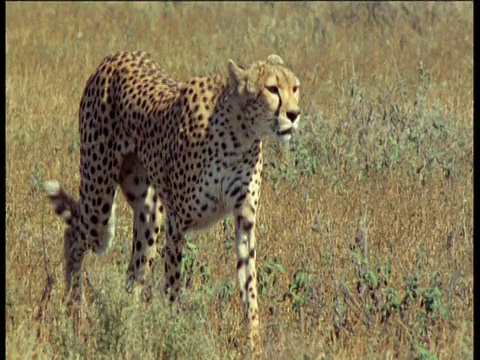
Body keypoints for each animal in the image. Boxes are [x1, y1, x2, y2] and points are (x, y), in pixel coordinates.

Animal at [45, 50, 300, 344]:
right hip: (99, 198)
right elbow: (173, 286)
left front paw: (254, 342)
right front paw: (173, 333)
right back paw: (74, 312)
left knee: (134, 272)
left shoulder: (244, 222)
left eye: (295, 88)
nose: (294, 114)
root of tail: (116, 56)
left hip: (149, 214)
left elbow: (249, 288)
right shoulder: (177, 223)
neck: (240, 132)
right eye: (272, 89)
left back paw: (127, 326)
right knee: (74, 234)